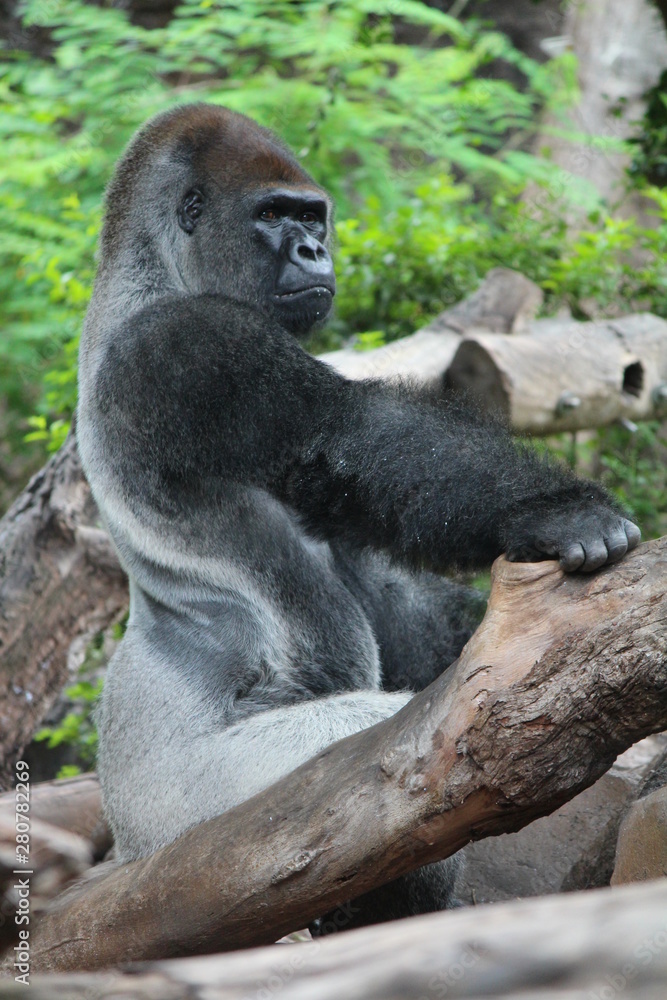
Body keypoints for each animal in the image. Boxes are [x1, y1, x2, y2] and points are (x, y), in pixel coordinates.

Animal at [76, 103, 640, 931]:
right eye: (271, 216)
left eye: (312, 217)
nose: (312, 249)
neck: (145, 270)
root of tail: (125, 842)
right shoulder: (186, 342)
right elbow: (349, 434)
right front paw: (557, 511)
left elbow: (387, 558)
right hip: (192, 829)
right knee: (368, 772)